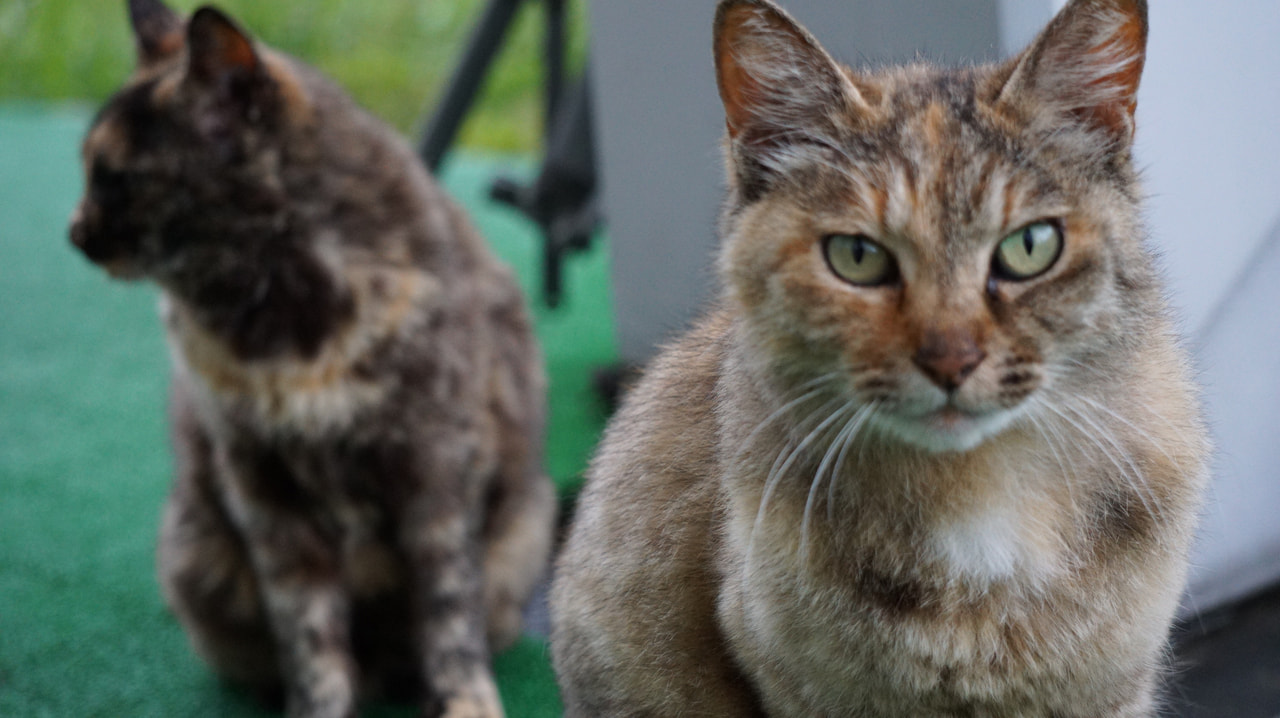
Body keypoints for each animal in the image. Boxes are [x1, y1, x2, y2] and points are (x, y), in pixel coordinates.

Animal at [67, 2, 552, 711]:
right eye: (90, 172)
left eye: (115, 178)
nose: (74, 233)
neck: (285, 326)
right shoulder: (265, 491)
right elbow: (307, 628)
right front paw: (318, 706)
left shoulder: (437, 470)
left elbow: (447, 611)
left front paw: (465, 700)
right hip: (195, 554)